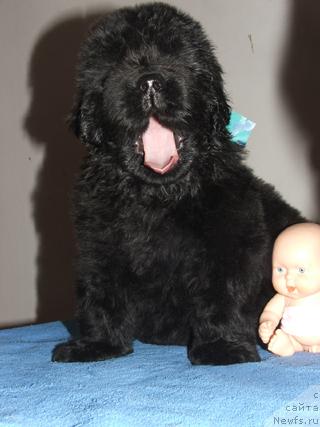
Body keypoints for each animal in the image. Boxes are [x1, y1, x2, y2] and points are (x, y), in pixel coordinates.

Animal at [52, 1, 302, 366]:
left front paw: (221, 347)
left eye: (178, 57)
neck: (159, 195)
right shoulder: (98, 244)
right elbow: (99, 295)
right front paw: (97, 345)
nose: (149, 82)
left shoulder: (230, 241)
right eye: (114, 63)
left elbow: (221, 293)